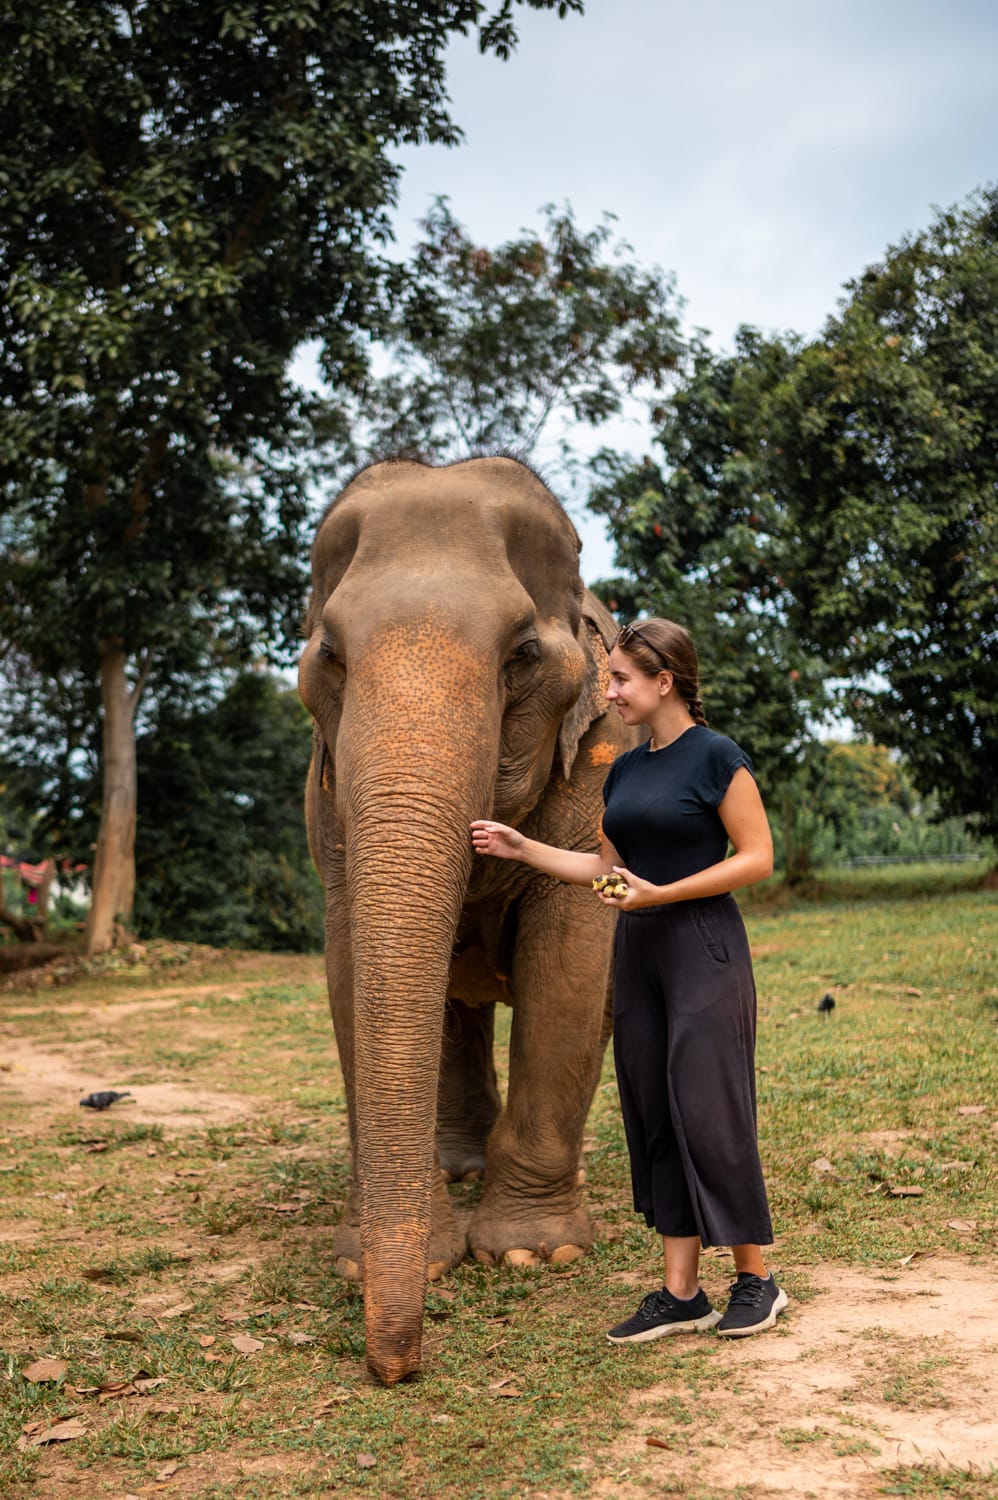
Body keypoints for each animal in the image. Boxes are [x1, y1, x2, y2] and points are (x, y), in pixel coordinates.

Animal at [298, 455, 636, 1385]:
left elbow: (569, 964)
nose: (397, 1371)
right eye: (329, 657)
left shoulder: (601, 764)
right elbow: (352, 976)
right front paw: (376, 1259)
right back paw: (456, 1166)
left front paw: (531, 1254)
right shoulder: (326, 804)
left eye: (522, 656)